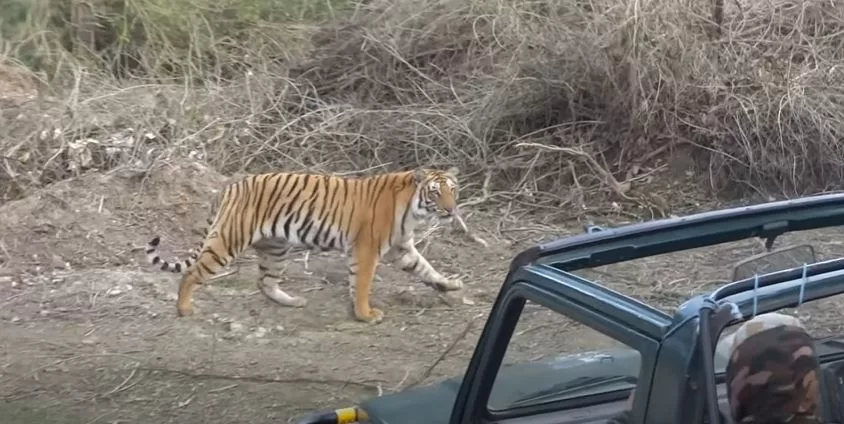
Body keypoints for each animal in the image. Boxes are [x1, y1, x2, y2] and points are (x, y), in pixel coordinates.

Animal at [143, 166, 462, 324]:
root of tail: (229, 186)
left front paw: (450, 285)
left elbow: (426, 268)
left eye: (453, 189)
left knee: (265, 282)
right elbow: (362, 285)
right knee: (192, 273)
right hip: (229, 240)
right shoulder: (367, 249)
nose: (451, 209)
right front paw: (366, 315)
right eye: (436, 192)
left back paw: (292, 301)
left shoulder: (401, 248)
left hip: (275, 246)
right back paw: (184, 310)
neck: (412, 209)